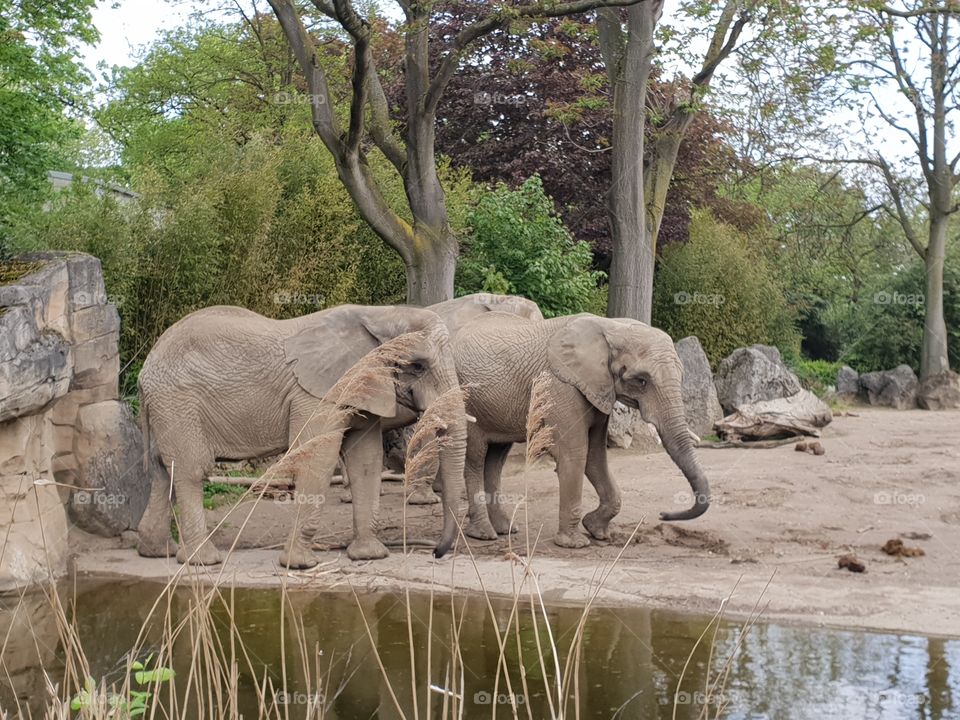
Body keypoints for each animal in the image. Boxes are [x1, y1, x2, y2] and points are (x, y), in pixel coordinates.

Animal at [136, 300, 464, 564]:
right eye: (418, 366)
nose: (435, 552)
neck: (381, 313)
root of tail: (145, 370)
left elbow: (366, 461)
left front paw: (369, 556)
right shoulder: (318, 395)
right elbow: (318, 457)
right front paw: (301, 565)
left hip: (167, 409)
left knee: (161, 470)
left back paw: (159, 552)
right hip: (178, 403)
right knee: (191, 470)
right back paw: (202, 560)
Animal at [436, 310, 712, 556]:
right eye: (642, 380)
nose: (663, 514)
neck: (612, 326)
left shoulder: (597, 388)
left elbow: (596, 457)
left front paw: (598, 531)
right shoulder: (562, 386)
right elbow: (575, 454)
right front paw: (574, 543)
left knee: (496, 457)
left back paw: (506, 529)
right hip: (465, 398)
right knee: (475, 457)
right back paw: (484, 534)